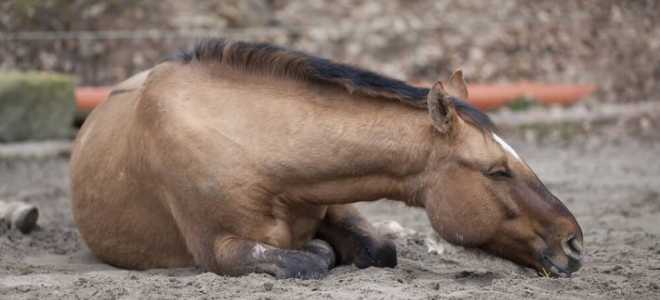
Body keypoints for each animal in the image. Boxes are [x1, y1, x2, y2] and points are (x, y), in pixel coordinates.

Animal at [69, 39, 584, 278]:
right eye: (497, 171)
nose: (574, 243)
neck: (256, 147)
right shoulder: (220, 249)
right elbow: (310, 259)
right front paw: (321, 252)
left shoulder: (338, 201)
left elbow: (379, 249)